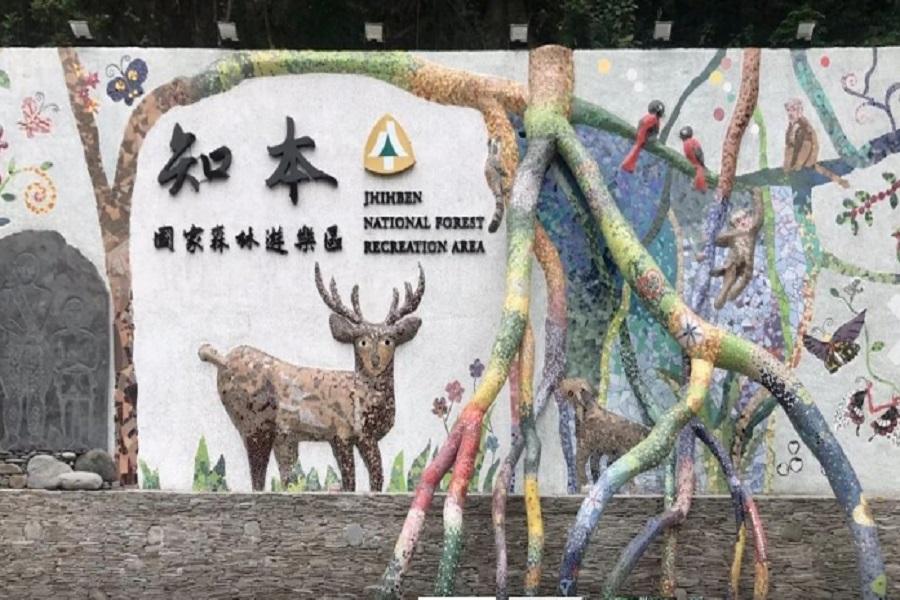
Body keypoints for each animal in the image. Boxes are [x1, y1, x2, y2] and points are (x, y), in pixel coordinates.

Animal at [198, 262, 425, 492]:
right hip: (254, 420)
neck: (365, 392)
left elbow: (368, 479)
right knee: (258, 473)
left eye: (389, 340)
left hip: (280, 434)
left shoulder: (347, 437)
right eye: (361, 341)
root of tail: (223, 359)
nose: (375, 361)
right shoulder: (346, 431)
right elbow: (360, 479)